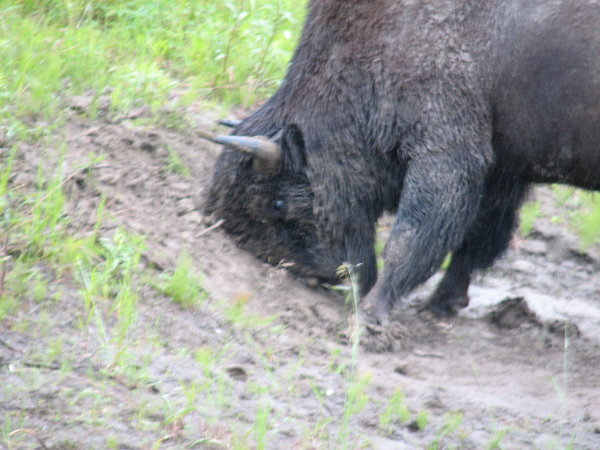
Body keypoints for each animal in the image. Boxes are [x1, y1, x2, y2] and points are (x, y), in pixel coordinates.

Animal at [205, 1, 600, 322]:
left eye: (278, 202)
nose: (319, 277)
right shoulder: (501, 172)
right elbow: (477, 239)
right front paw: (442, 305)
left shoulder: (445, 154)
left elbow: (409, 238)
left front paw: (371, 313)